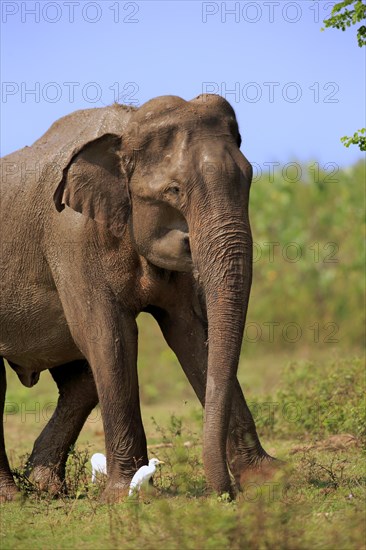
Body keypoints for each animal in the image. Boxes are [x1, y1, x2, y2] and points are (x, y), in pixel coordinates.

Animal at [0, 96, 274, 504]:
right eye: (174, 191)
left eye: (249, 177)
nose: (226, 493)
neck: (125, 130)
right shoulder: (72, 240)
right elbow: (108, 337)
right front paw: (126, 495)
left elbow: (192, 333)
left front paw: (269, 478)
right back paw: (12, 497)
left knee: (80, 383)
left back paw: (44, 487)